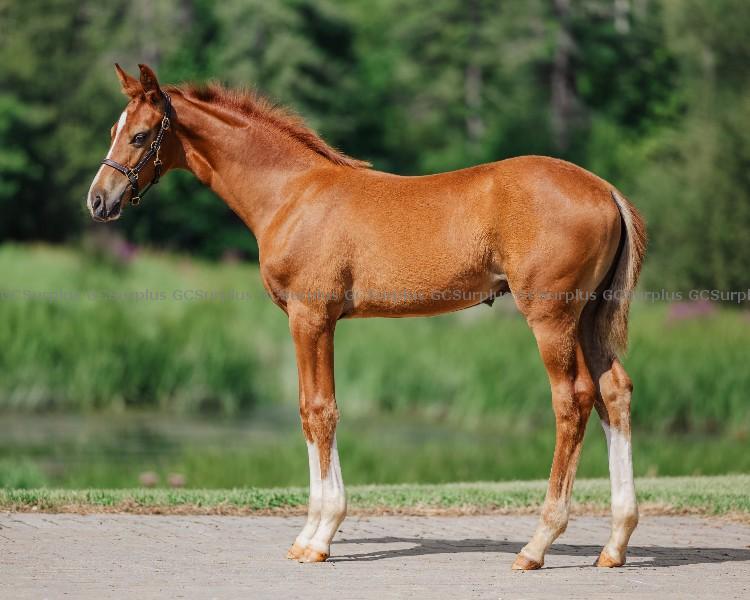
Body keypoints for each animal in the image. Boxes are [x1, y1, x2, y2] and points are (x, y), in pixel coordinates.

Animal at [86, 63, 648, 568]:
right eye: (113, 130)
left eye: (140, 135)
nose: (98, 201)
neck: (292, 193)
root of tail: (605, 189)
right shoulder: (318, 321)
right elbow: (312, 409)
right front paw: (310, 534)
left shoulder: (310, 316)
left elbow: (318, 411)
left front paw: (318, 536)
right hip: (589, 318)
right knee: (613, 391)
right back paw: (615, 544)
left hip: (551, 318)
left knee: (571, 400)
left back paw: (537, 545)